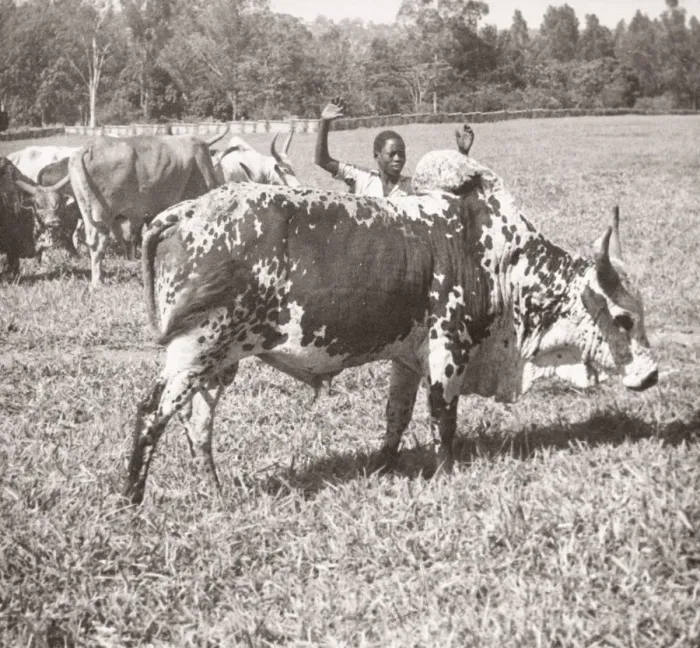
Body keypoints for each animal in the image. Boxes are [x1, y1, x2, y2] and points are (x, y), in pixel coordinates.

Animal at [122, 150, 658, 504]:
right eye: (624, 318)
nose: (652, 375)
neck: (498, 257)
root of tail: (184, 210)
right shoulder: (449, 350)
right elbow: (444, 418)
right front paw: (447, 473)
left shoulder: (408, 356)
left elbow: (396, 416)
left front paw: (382, 466)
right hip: (195, 349)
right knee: (151, 414)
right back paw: (132, 498)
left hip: (218, 362)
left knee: (197, 424)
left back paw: (215, 492)